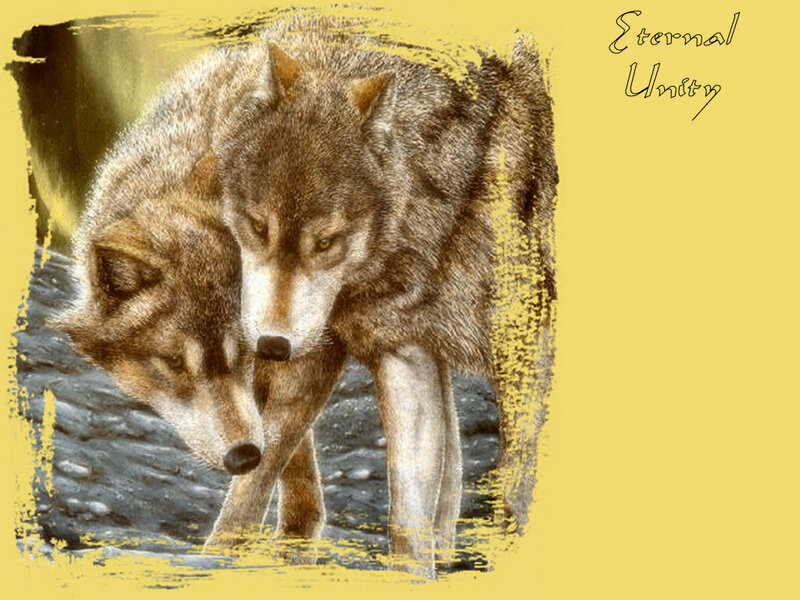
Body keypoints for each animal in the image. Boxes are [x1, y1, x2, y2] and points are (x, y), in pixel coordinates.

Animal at [53, 44, 346, 553]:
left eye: (244, 353)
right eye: (174, 363)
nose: (242, 455)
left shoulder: (316, 346)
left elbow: (271, 458)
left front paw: (229, 551)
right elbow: (289, 450)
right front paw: (297, 533)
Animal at [219, 25, 557, 577]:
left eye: (326, 242)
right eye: (257, 226)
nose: (271, 346)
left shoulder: (531, 358)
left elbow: (515, 497)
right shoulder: (404, 353)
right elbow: (406, 517)